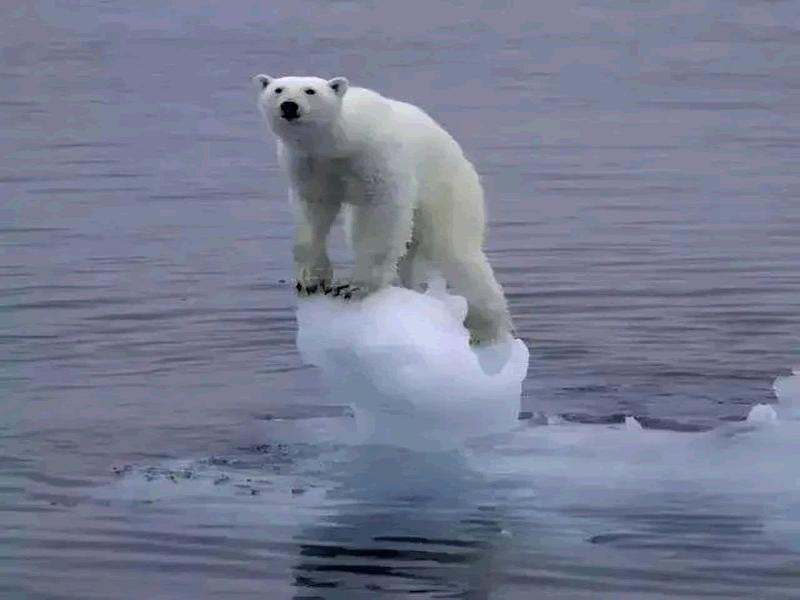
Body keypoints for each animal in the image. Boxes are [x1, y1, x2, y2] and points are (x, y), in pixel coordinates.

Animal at [256, 74, 520, 346]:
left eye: (310, 91)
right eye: (278, 89)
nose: (289, 105)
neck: (339, 142)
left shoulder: (374, 156)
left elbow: (382, 213)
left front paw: (353, 287)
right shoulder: (310, 166)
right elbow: (313, 213)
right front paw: (311, 280)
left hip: (448, 191)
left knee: (456, 252)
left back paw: (487, 331)